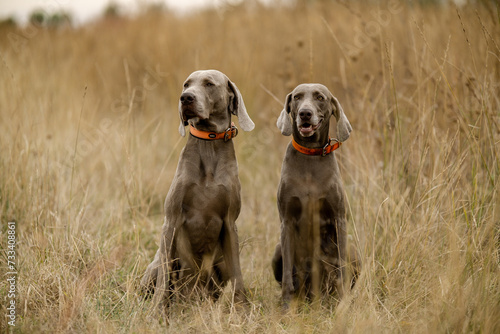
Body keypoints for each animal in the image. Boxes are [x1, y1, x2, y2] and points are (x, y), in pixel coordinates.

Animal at [143, 70, 256, 316]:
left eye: (209, 84)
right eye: (186, 84)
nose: (185, 98)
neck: (209, 143)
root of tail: (191, 296)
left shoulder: (230, 222)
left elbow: (238, 274)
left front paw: (241, 310)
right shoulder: (171, 220)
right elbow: (165, 276)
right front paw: (157, 311)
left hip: (219, 264)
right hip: (156, 264)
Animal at [272, 83, 358, 308]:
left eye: (320, 97)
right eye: (297, 97)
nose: (305, 113)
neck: (309, 155)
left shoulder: (339, 218)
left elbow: (341, 271)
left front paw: (343, 305)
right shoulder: (286, 221)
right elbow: (287, 275)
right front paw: (286, 307)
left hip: (353, 247)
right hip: (277, 251)